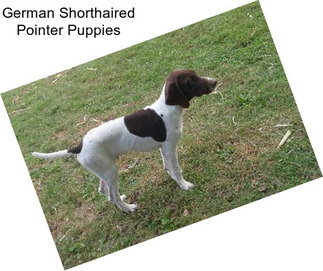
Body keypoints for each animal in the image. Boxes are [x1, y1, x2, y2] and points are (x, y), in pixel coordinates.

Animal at [32, 69, 218, 214]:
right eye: (190, 80)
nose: (214, 82)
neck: (167, 108)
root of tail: (80, 145)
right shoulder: (170, 149)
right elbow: (177, 170)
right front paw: (184, 185)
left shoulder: (164, 150)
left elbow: (169, 167)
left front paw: (173, 178)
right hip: (111, 171)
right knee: (112, 196)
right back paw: (128, 208)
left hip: (104, 170)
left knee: (104, 191)